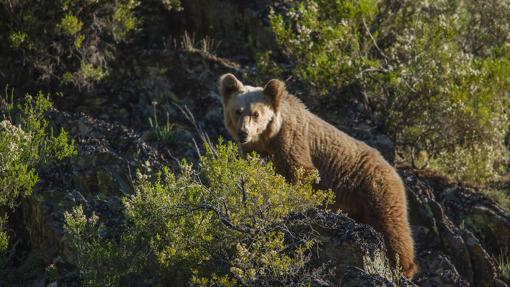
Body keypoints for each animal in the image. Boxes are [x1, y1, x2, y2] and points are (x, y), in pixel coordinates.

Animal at [219, 73, 418, 280]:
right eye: (238, 111)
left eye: (256, 113)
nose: (243, 132)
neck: (268, 139)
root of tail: (393, 169)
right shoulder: (255, 151)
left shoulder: (291, 141)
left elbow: (299, 172)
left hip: (374, 188)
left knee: (392, 226)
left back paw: (404, 268)